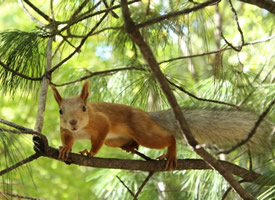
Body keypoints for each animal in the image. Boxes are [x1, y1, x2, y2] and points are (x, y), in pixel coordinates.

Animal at [50, 80, 274, 170]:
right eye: (60, 111)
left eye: (84, 108)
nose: (73, 122)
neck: (81, 129)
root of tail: (147, 116)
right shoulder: (65, 130)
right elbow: (67, 139)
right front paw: (65, 149)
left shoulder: (101, 122)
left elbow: (99, 138)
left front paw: (89, 152)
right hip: (115, 140)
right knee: (130, 142)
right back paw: (130, 146)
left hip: (142, 130)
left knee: (168, 137)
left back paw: (171, 152)